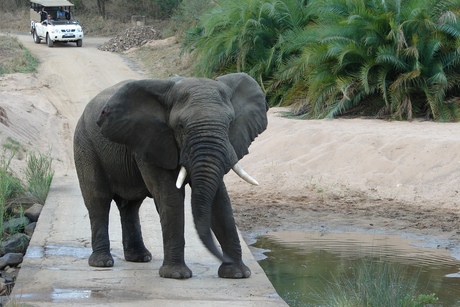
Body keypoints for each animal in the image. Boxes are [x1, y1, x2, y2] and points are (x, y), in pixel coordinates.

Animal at [73, 73, 268, 280]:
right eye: (180, 126)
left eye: (230, 123)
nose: (221, 257)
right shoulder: (151, 140)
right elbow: (170, 196)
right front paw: (177, 275)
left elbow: (220, 199)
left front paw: (237, 274)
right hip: (84, 144)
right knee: (98, 200)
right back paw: (102, 263)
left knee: (131, 206)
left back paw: (140, 258)